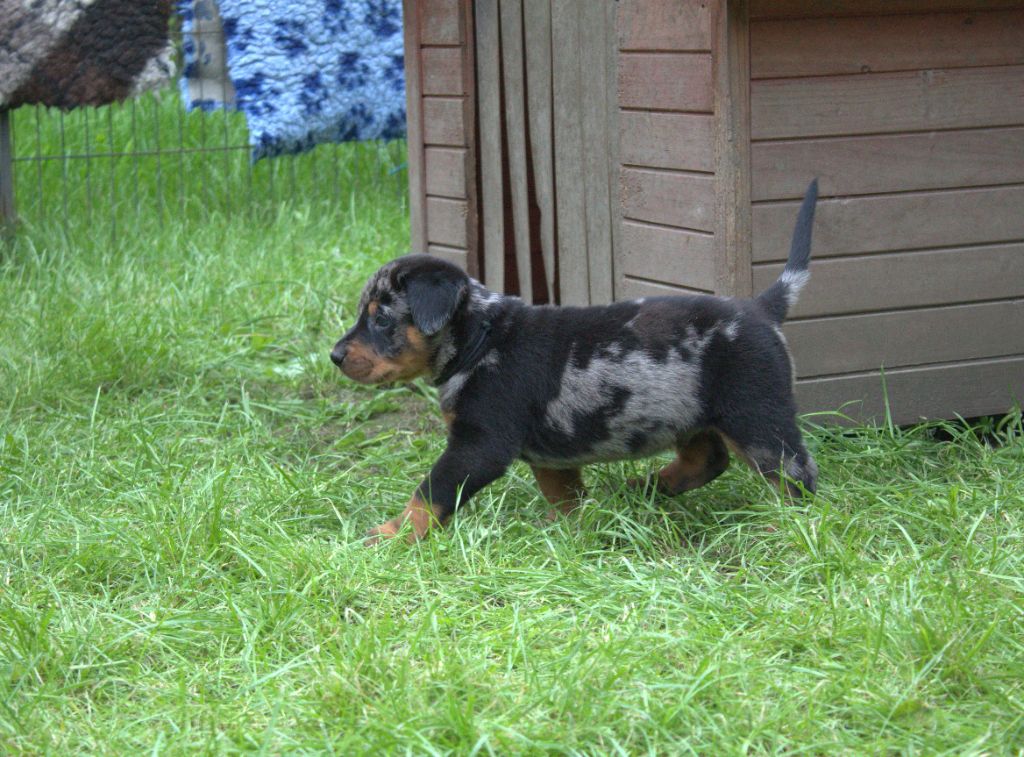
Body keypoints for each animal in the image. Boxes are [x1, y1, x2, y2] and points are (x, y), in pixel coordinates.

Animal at [331, 180, 820, 544]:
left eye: (381, 318)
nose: (335, 356)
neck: (481, 341)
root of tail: (762, 308)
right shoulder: (548, 456)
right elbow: (564, 496)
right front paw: (570, 531)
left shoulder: (479, 446)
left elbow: (430, 492)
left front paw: (391, 534)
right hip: (694, 415)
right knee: (708, 459)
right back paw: (642, 490)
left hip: (758, 418)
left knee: (796, 479)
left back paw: (787, 529)